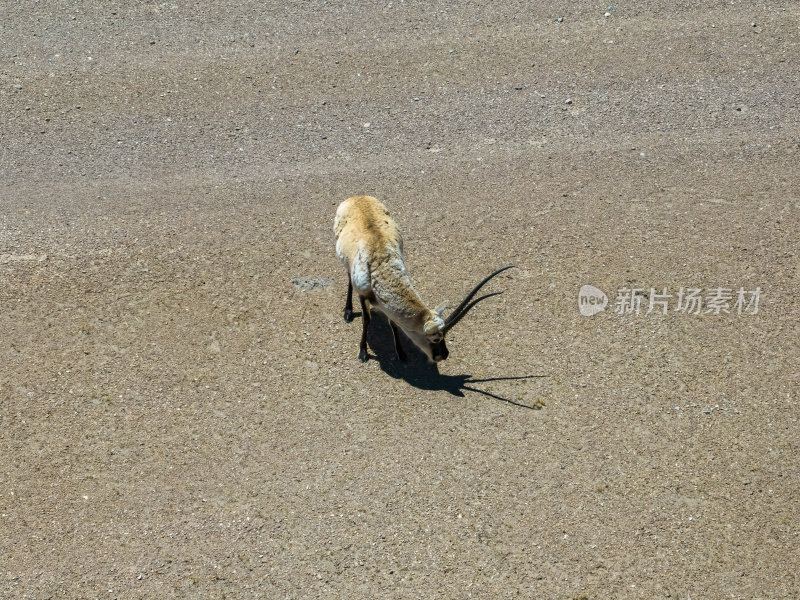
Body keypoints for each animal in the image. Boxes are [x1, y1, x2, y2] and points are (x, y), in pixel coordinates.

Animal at [332, 197, 512, 364]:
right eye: (435, 338)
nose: (444, 355)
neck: (380, 264)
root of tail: (357, 197)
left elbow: (394, 322)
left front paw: (401, 354)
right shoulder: (363, 294)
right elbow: (366, 319)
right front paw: (363, 353)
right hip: (345, 260)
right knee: (348, 278)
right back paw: (348, 313)